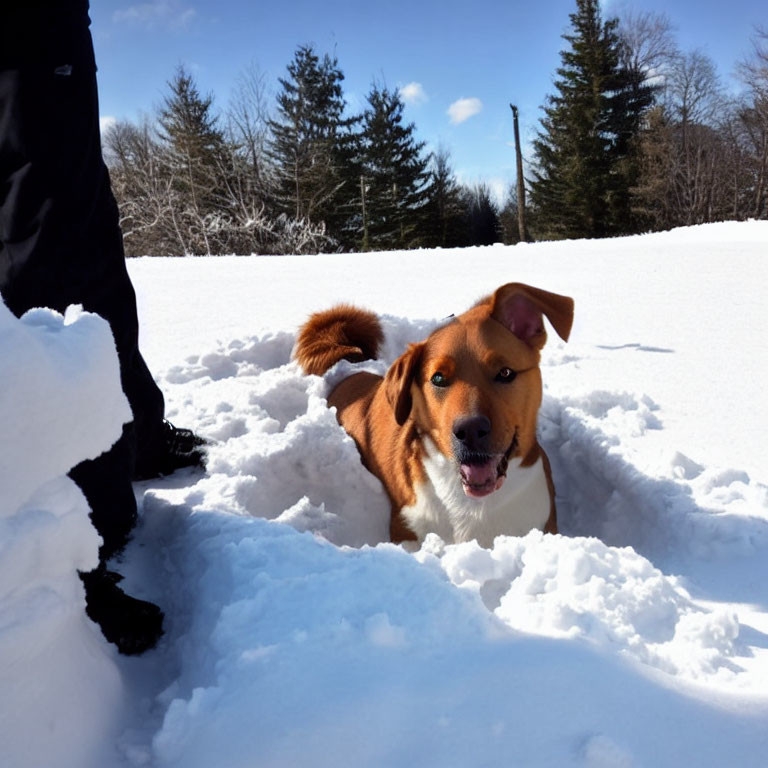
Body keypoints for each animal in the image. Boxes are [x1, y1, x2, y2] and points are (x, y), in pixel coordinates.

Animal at [294, 284, 568, 548]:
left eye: (506, 372)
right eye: (438, 378)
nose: (470, 430)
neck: (472, 506)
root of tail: (352, 367)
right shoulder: (405, 529)